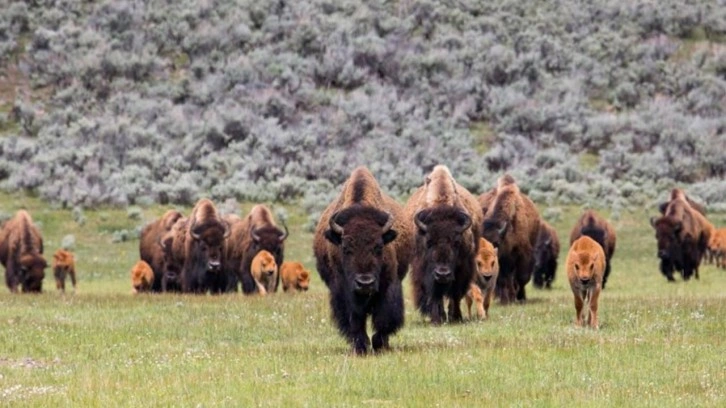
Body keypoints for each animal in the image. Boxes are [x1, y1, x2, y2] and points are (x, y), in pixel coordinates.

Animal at [314, 166, 416, 354]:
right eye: (345, 248)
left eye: (379, 246)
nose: (365, 283)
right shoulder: (343, 290)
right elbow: (354, 320)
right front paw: (361, 346)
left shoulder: (388, 284)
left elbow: (384, 317)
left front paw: (379, 344)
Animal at [406, 164, 486, 324]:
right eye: (429, 242)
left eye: (456, 242)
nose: (442, 274)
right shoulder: (424, 270)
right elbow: (435, 294)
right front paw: (437, 319)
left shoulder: (462, 268)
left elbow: (455, 294)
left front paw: (456, 317)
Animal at [484, 174, 540, 304]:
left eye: (496, 242)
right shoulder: (502, 261)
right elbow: (503, 280)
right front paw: (505, 301)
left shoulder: (523, 255)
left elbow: (522, 278)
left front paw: (520, 297)